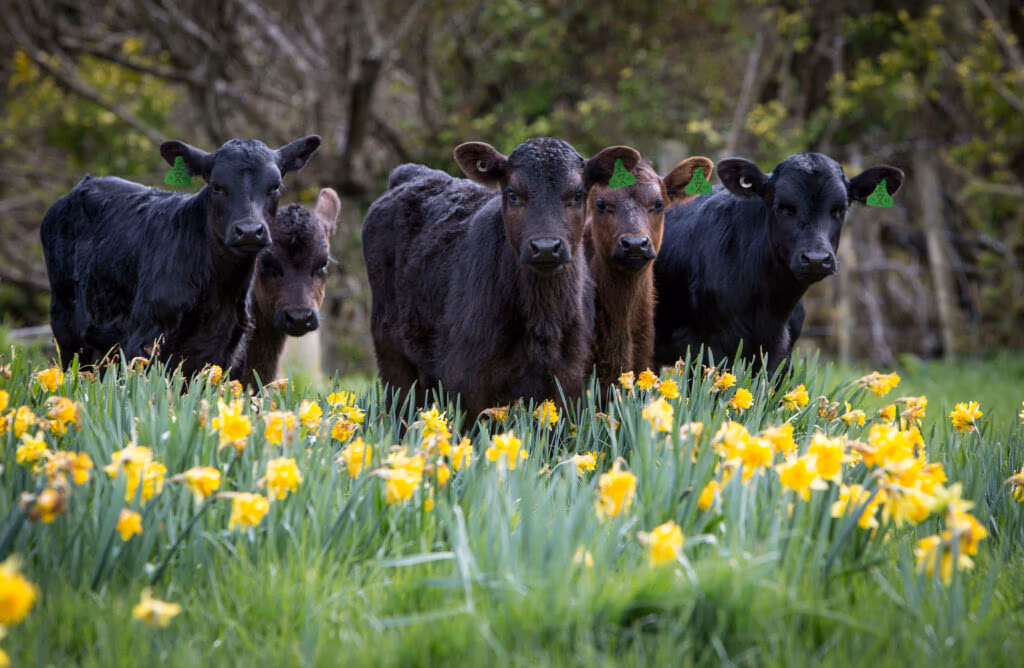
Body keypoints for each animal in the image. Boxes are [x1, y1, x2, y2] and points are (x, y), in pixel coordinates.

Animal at [40, 135, 321, 378]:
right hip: (66, 327)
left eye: (275, 186)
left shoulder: (224, 350)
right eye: (216, 186)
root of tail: (85, 183)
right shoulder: (144, 341)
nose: (249, 231)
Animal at [362, 137, 641, 417]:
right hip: (392, 354)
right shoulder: (467, 380)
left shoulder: (567, 378)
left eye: (578, 195)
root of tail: (415, 174)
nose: (546, 246)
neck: (542, 320)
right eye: (513, 194)